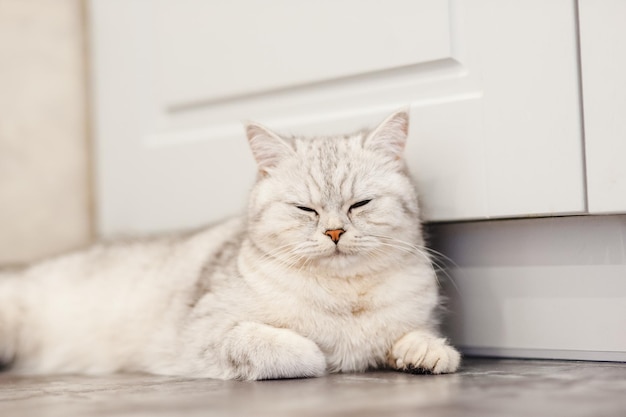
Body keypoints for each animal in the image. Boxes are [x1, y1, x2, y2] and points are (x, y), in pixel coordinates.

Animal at [0, 111, 458, 380]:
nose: (334, 233)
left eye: (360, 204)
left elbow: (417, 338)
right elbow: (297, 350)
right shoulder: (205, 334)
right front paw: (326, 354)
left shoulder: (414, 320)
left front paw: (426, 354)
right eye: (305, 209)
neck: (346, 297)